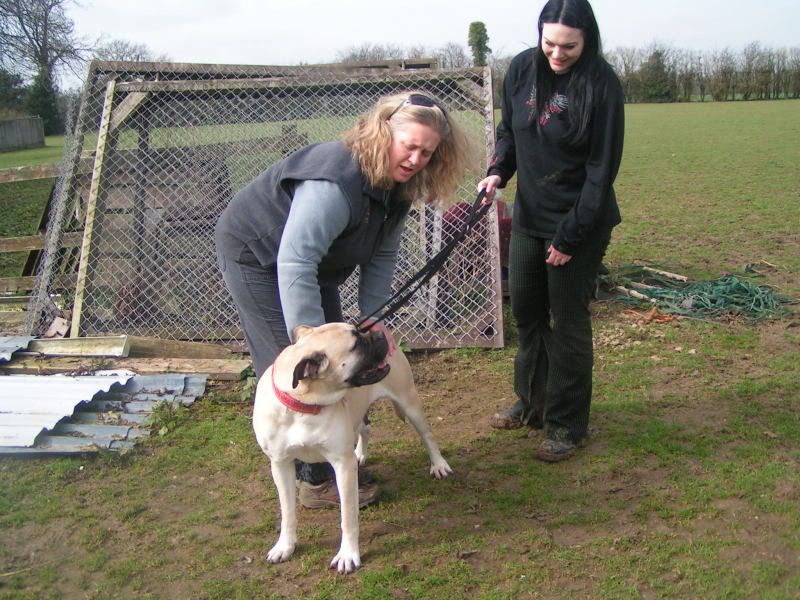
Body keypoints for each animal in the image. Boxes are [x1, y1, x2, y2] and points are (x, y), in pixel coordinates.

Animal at [253, 322, 454, 576]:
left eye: (359, 331)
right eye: (357, 343)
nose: (377, 333)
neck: (303, 405)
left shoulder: (343, 466)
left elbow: (348, 517)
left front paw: (348, 554)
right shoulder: (280, 464)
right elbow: (287, 511)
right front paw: (285, 546)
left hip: (409, 403)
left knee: (427, 436)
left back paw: (439, 464)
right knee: (365, 428)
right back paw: (361, 453)